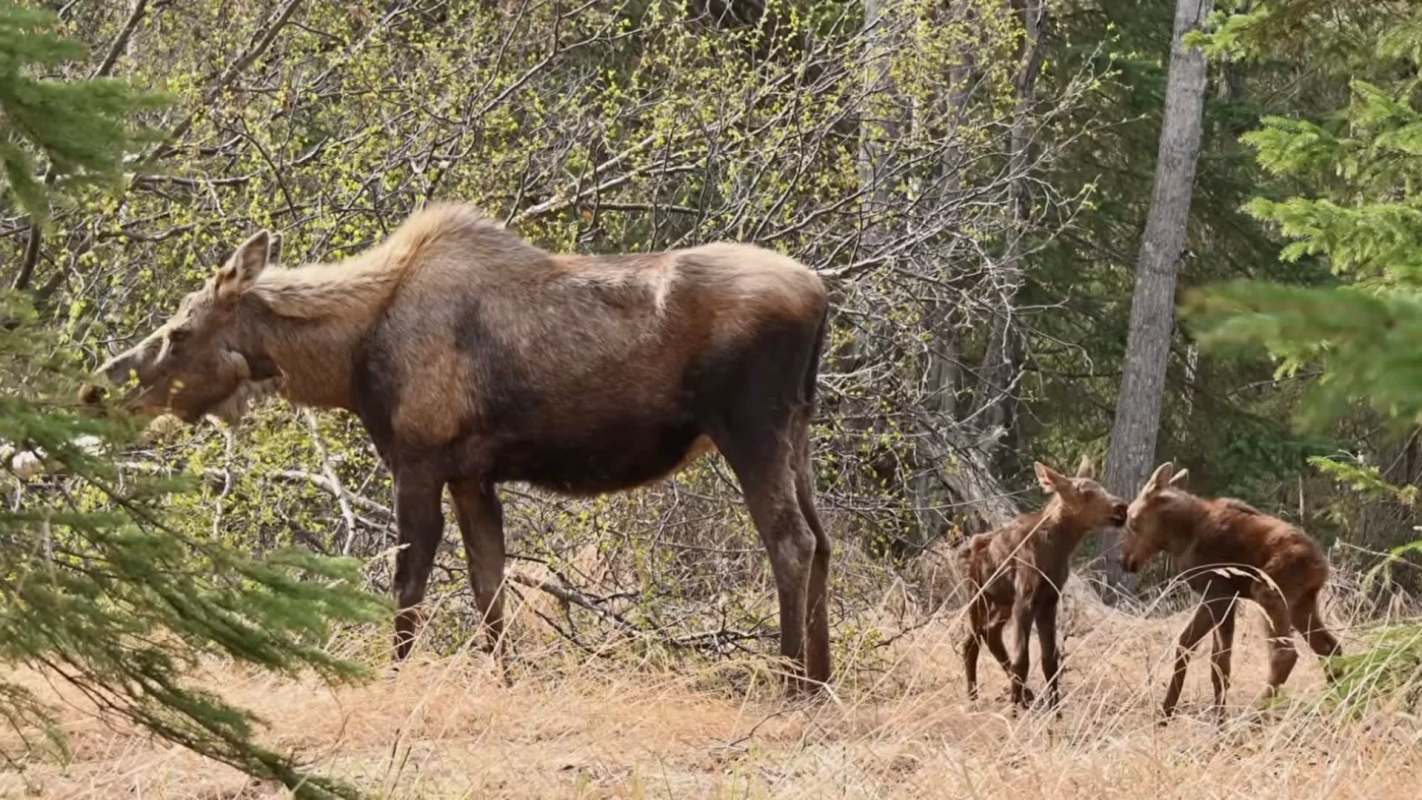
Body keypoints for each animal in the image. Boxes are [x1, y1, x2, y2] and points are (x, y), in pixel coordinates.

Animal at [80, 203, 833, 692]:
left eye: (179, 332)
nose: (95, 389)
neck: (347, 358)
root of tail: (822, 295)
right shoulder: (474, 475)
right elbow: (488, 587)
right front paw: (502, 684)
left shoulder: (417, 460)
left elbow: (407, 585)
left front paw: (391, 682)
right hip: (797, 433)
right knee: (823, 543)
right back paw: (823, 683)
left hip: (752, 429)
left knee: (790, 542)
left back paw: (790, 685)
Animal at [959, 458, 1128, 709]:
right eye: (1085, 492)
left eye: (1102, 487)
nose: (1121, 508)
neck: (1058, 548)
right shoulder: (1026, 596)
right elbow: (1022, 661)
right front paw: (1014, 711)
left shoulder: (1049, 598)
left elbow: (1050, 661)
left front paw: (1055, 711)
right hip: (977, 596)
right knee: (971, 643)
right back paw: (974, 698)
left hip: (1002, 603)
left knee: (990, 635)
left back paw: (1022, 695)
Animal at [1121, 461, 1343, 720]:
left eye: (1132, 520)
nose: (1125, 561)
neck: (1180, 538)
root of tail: (1321, 565)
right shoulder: (1220, 596)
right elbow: (1198, 650)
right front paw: (1173, 712)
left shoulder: (1219, 592)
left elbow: (1213, 658)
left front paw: (1214, 719)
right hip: (1302, 604)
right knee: (1329, 647)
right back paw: (1340, 702)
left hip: (1268, 592)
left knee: (1285, 654)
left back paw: (1258, 715)